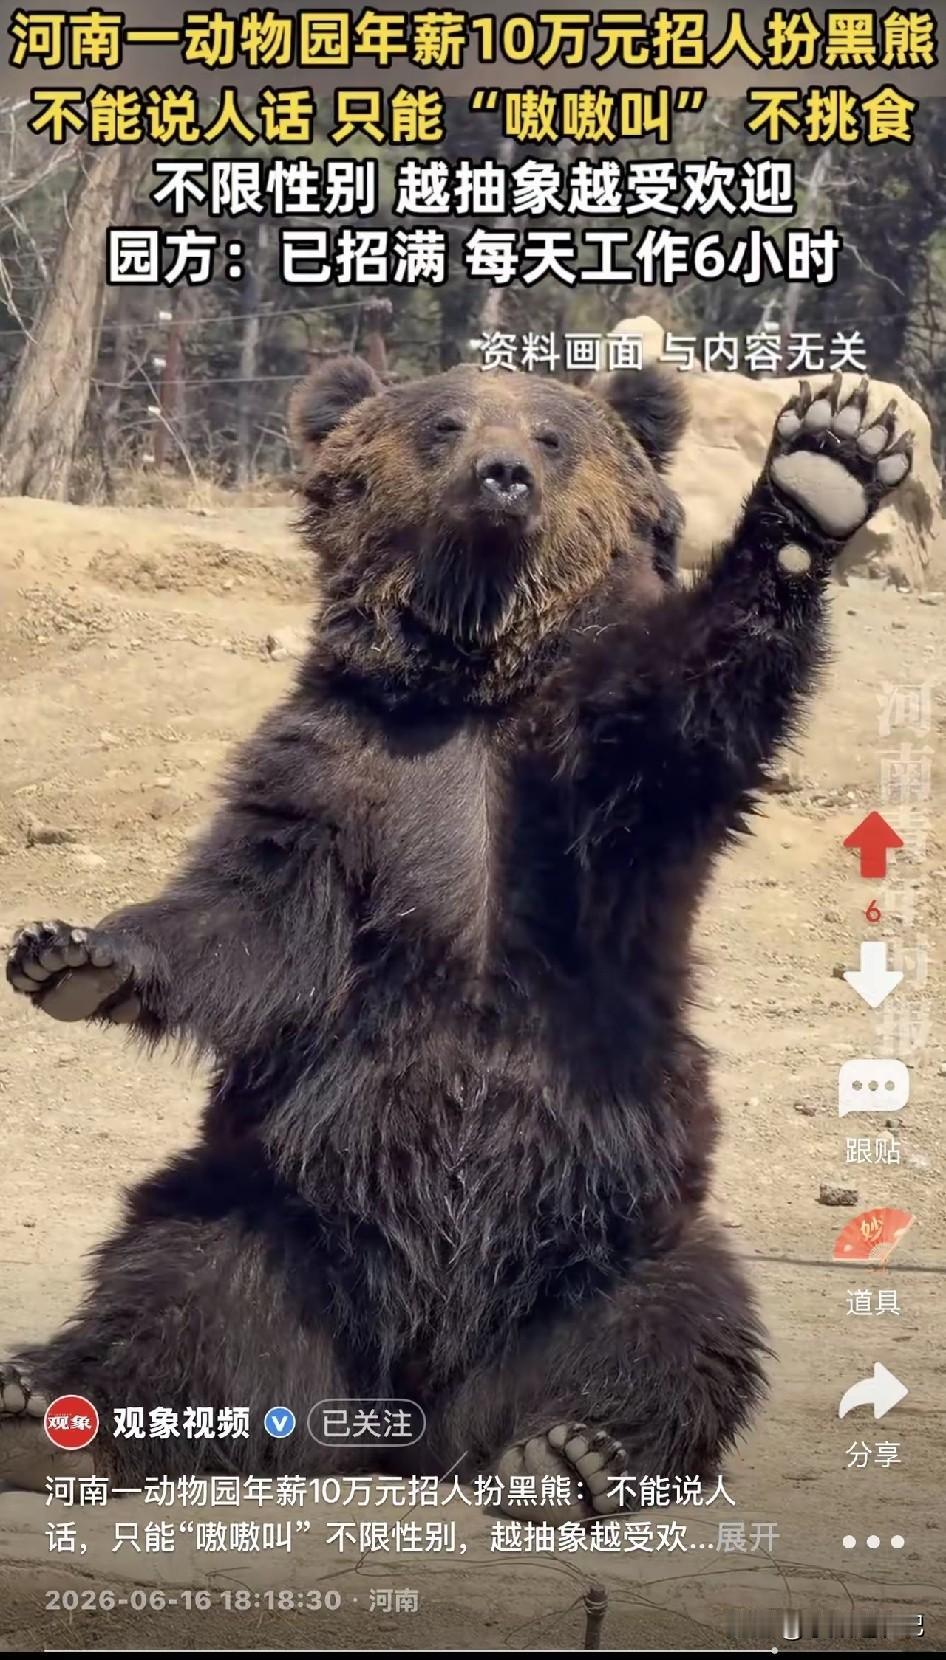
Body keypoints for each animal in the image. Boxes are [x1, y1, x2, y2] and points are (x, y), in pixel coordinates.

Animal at [2, 359, 912, 1519]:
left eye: (554, 434)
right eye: (442, 425)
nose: (503, 475)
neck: (473, 688)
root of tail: (413, 1408)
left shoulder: (592, 786)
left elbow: (690, 711)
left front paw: (822, 469)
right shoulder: (340, 770)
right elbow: (254, 912)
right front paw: (72, 953)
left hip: (613, 1232)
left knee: (677, 1322)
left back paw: (573, 1451)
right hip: (275, 1213)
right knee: (174, 1278)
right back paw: (55, 1407)